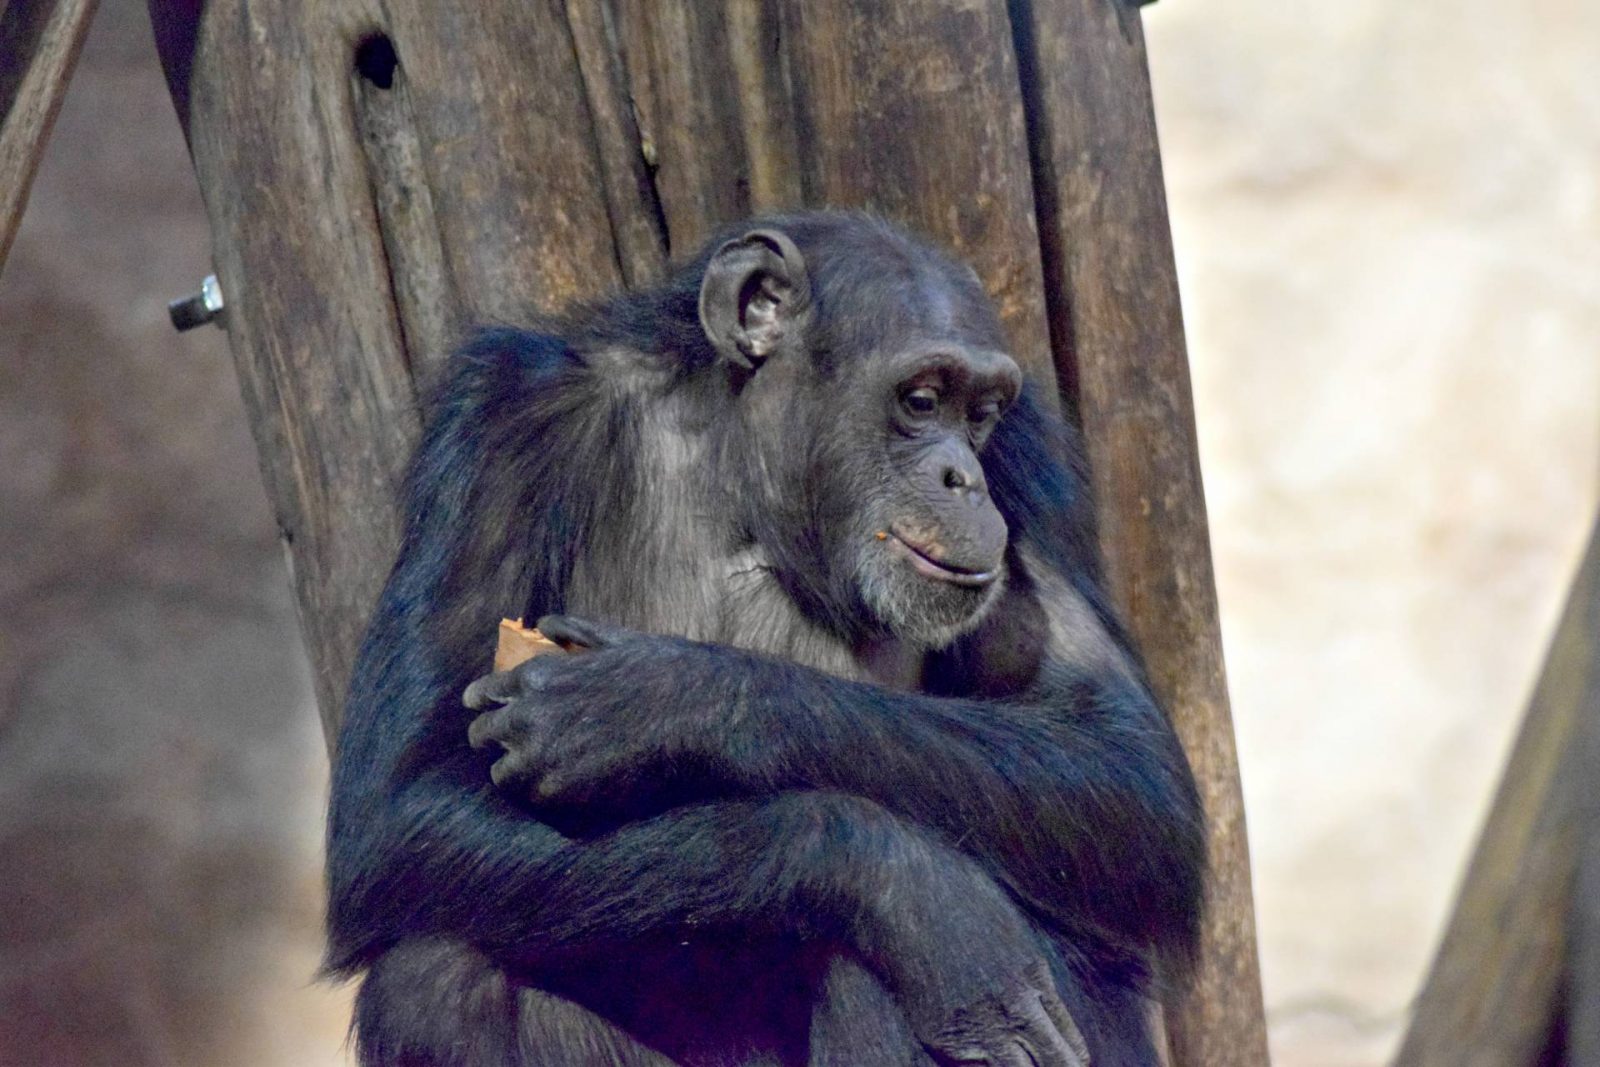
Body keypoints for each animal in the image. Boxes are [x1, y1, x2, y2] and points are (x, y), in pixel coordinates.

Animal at [324, 211, 1203, 1067]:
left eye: (982, 414)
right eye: (922, 399)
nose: (965, 477)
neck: (743, 474)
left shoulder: (1030, 466)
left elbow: (1125, 772)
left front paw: (655, 700)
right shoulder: (500, 421)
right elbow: (406, 803)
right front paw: (908, 884)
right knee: (433, 977)